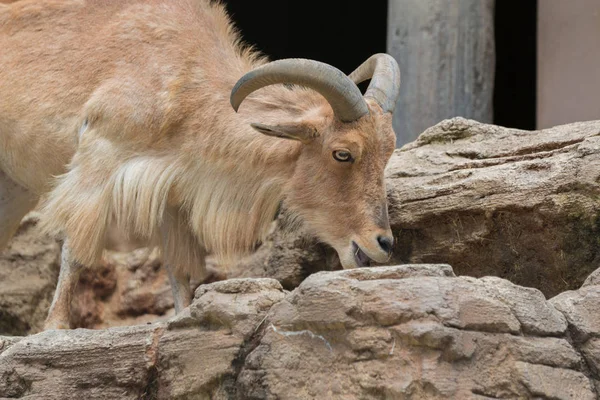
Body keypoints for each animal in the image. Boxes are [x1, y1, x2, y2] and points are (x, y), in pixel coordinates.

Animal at [1, 0, 404, 328]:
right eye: (342, 153)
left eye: (387, 152)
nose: (383, 243)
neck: (181, 78)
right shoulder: (98, 155)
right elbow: (74, 249)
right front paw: (53, 329)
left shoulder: (170, 193)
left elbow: (178, 270)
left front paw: (181, 320)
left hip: (14, 188)